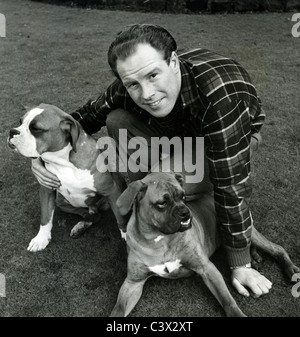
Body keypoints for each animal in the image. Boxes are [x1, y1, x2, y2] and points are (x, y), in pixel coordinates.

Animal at [7, 103, 125, 251]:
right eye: (20, 122)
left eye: (36, 129)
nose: (12, 131)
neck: (63, 162)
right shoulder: (46, 190)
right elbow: (45, 217)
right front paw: (41, 239)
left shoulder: (112, 191)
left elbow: (121, 219)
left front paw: (127, 239)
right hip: (61, 201)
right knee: (92, 214)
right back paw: (81, 225)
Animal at [110, 172, 300, 316]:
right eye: (162, 203)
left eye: (183, 196)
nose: (185, 212)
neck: (158, 240)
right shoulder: (133, 283)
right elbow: (118, 310)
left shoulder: (207, 269)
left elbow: (228, 300)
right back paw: (254, 258)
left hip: (245, 230)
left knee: (275, 248)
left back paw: (290, 269)